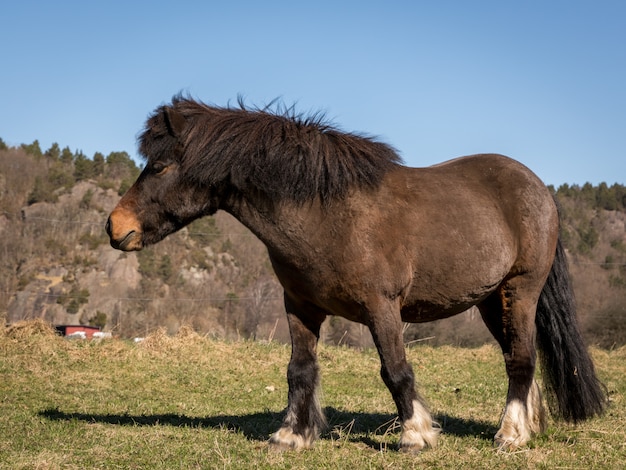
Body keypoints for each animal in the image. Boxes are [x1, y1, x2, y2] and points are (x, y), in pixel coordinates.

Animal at [105, 95, 604, 452]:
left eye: (160, 166)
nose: (115, 226)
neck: (326, 215)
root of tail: (537, 187)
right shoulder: (300, 307)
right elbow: (299, 369)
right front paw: (291, 436)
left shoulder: (382, 309)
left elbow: (396, 371)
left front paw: (416, 435)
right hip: (489, 300)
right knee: (519, 357)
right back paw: (529, 426)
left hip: (521, 291)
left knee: (520, 359)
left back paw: (510, 434)